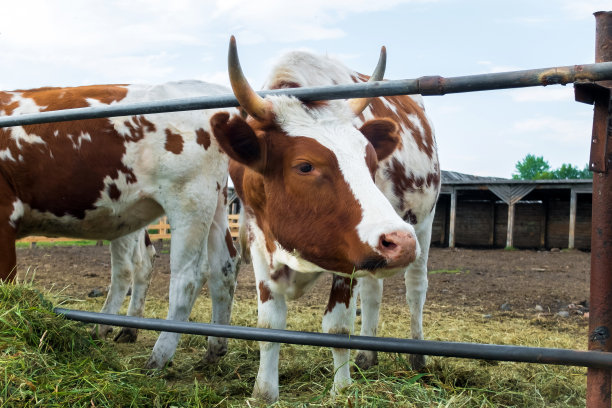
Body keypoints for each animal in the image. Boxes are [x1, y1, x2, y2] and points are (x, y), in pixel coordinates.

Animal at [1, 81, 241, 368]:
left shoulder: (4, 215)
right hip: (215, 203)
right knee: (224, 266)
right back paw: (214, 349)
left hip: (190, 200)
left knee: (187, 277)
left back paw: (157, 357)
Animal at [210, 37, 440, 402]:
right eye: (305, 166)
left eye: (371, 162)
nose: (400, 242)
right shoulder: (259, 239)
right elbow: (270, 323)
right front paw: (264, 391)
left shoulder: (347, 256)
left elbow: (338, 325)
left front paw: (342, 389)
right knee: (373, 293)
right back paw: (367, 355)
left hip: (422, 222)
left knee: (416, 288)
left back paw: (417, 357)